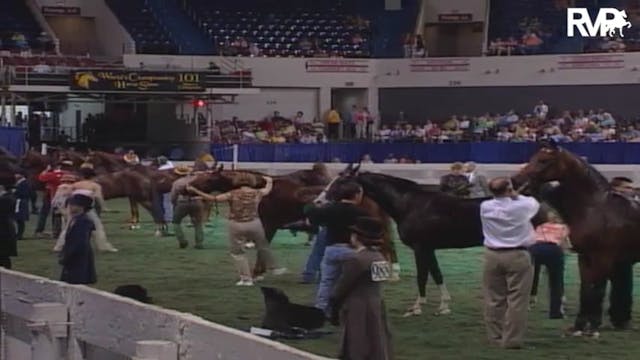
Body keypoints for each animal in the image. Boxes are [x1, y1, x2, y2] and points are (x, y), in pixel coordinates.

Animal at [512, 142, 640, 334]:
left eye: (544, 160)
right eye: (533, 157)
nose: (516, 180)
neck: (596, 208)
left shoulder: (603, 258)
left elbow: (596, 290)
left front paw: (593, 327)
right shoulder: (584, 257)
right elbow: (585, 290)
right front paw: (578, 326)